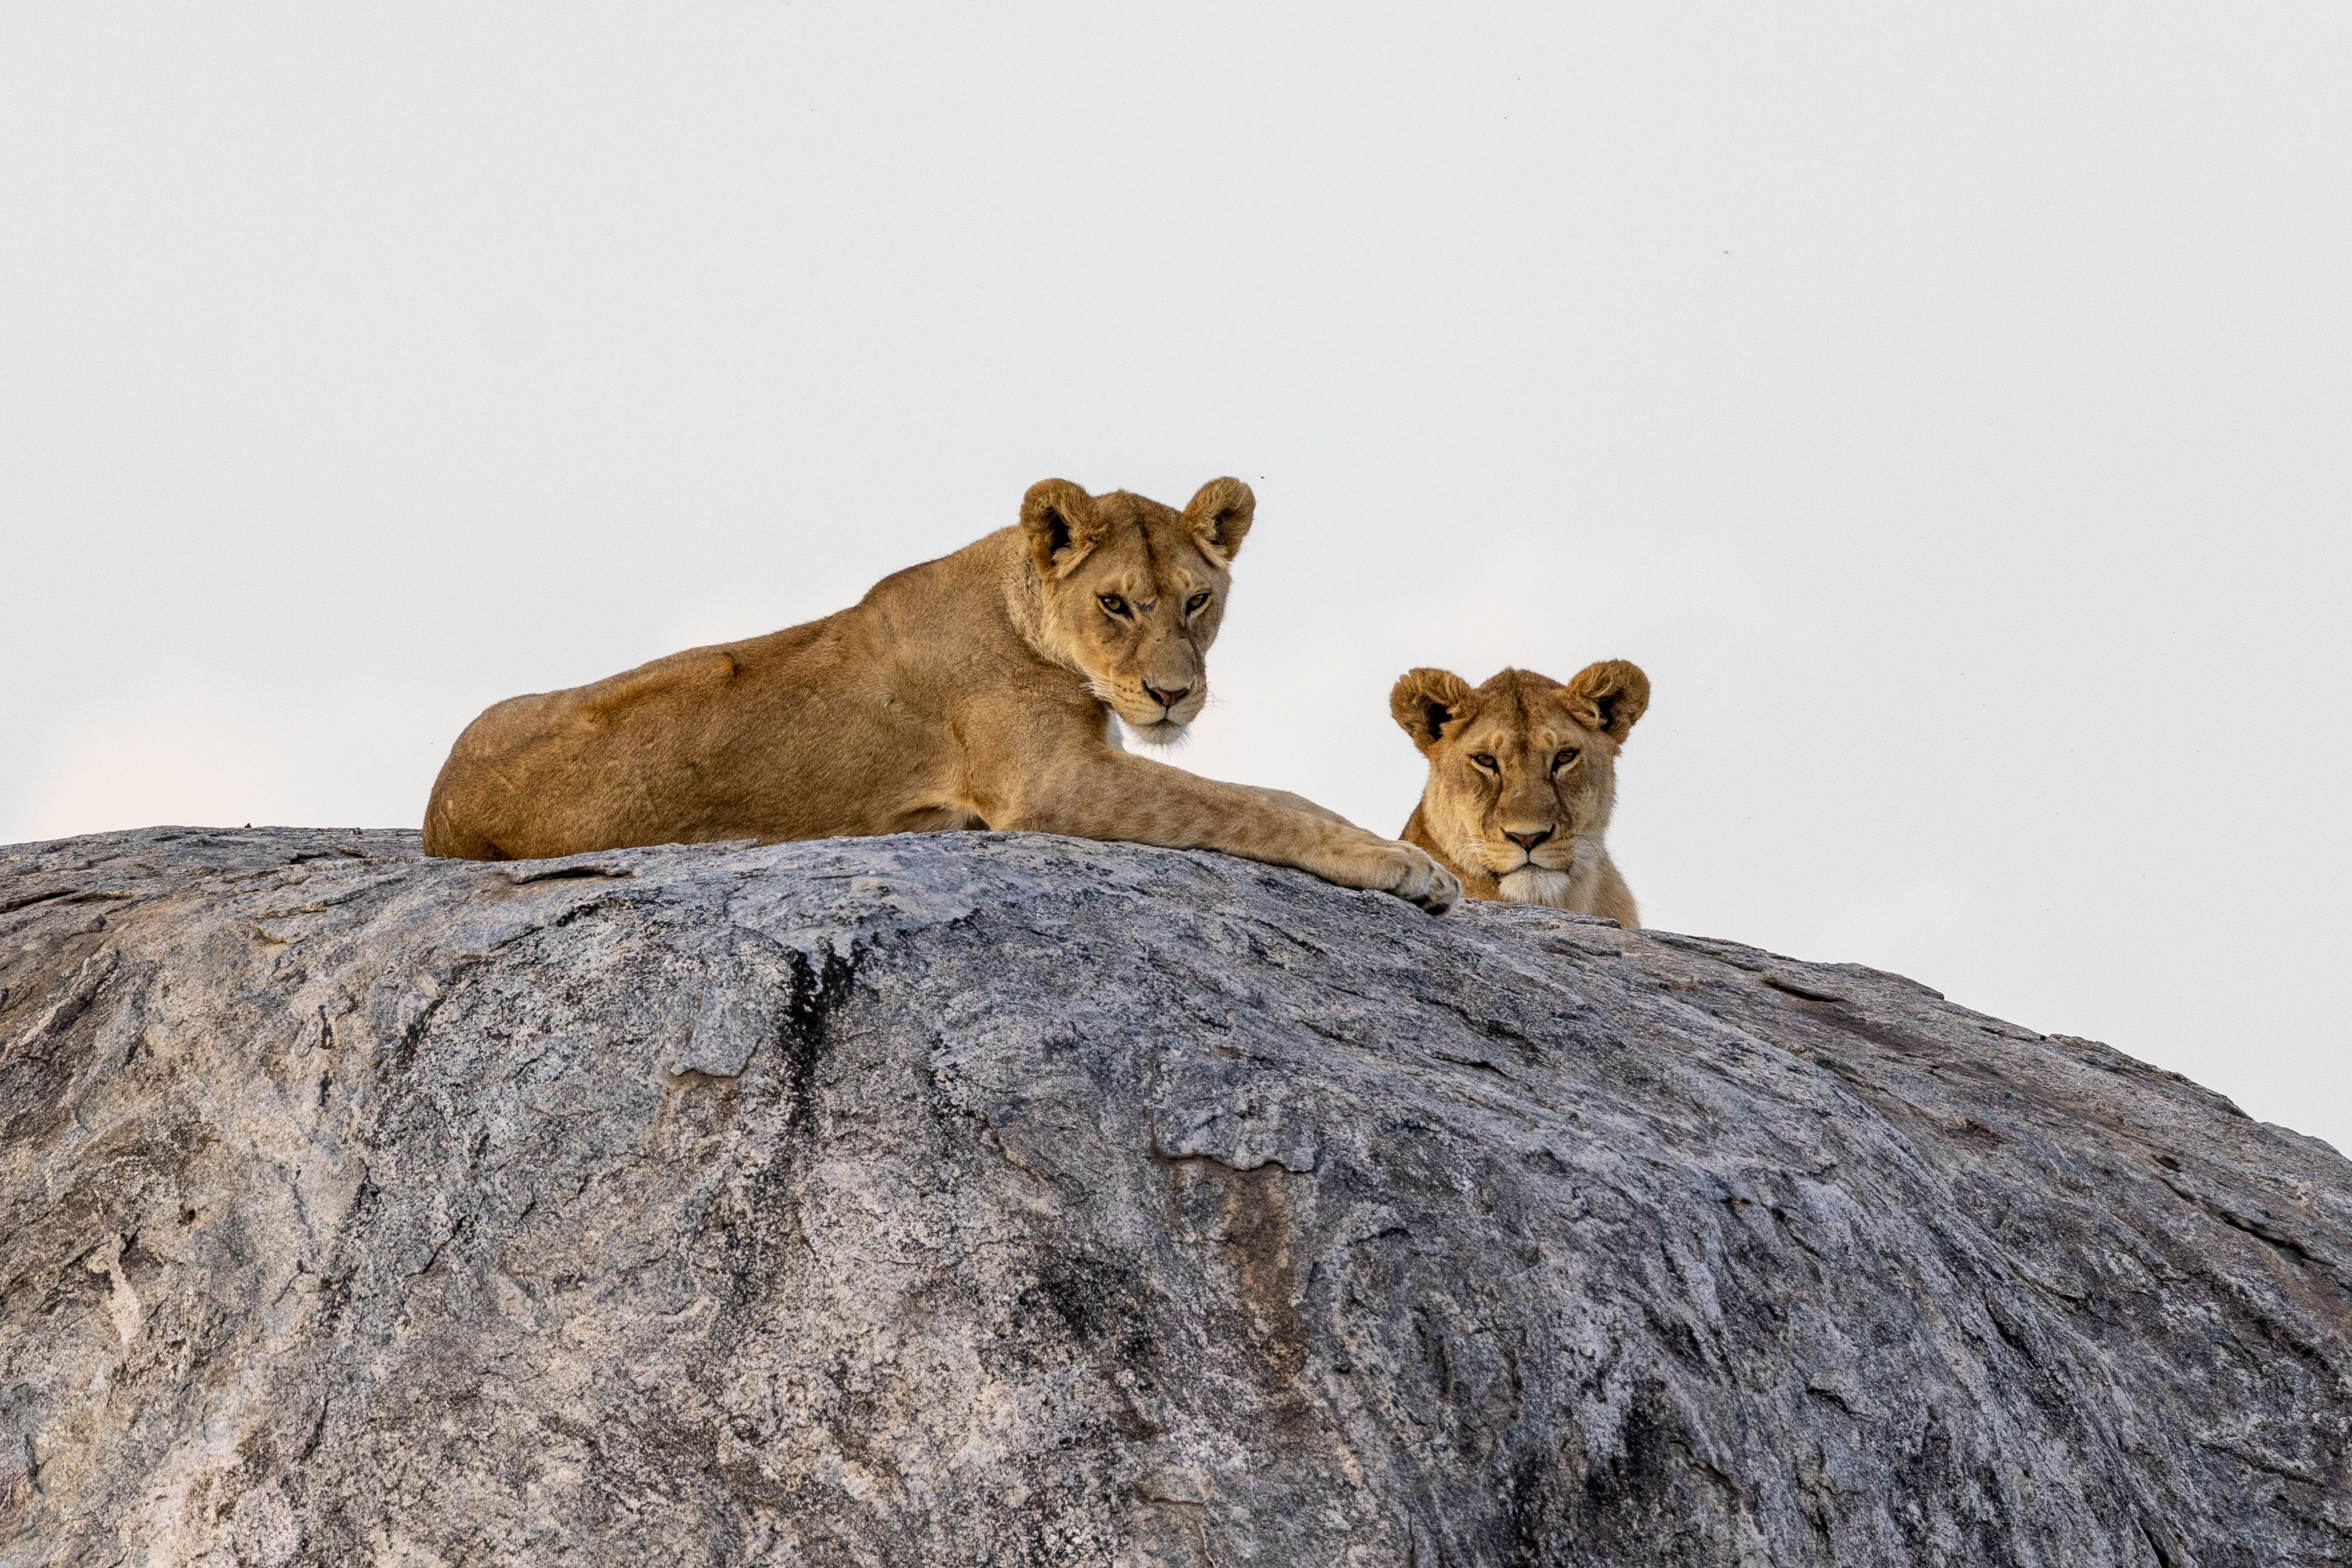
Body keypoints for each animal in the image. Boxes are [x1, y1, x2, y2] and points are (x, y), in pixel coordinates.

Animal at [423, 478, 1461, 910]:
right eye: (1115, 602)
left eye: (1197, 600)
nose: (1171, 696)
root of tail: (435, 809)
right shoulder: (1049, 785)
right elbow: (1247, 804)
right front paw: (1400, 865)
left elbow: (1261, 793)